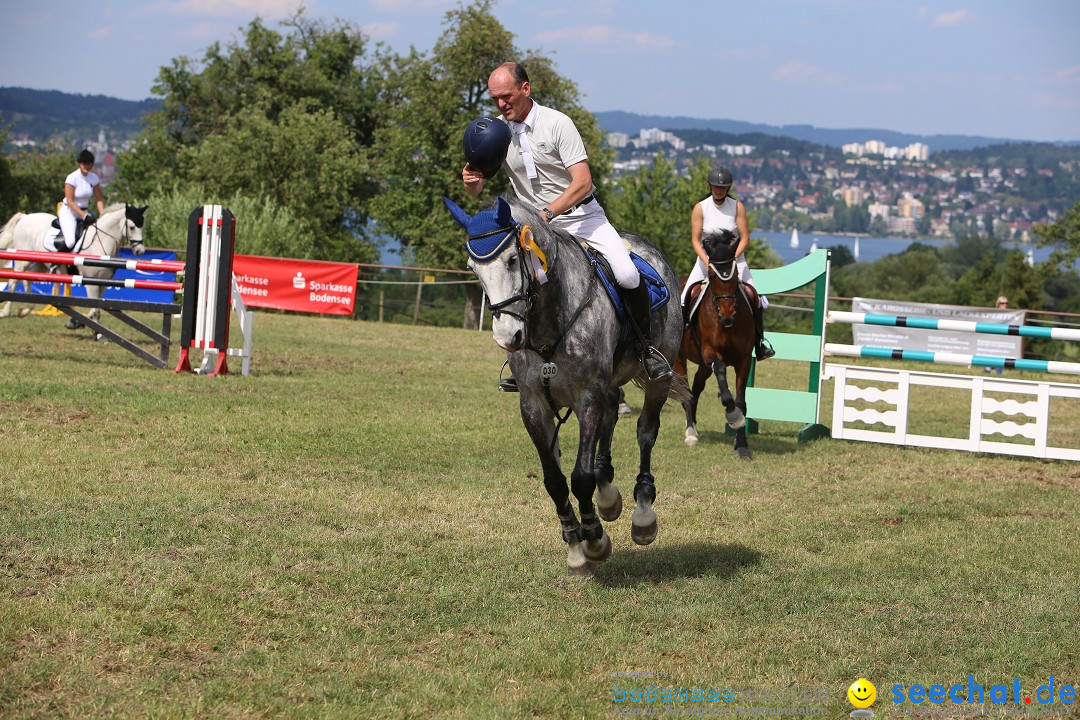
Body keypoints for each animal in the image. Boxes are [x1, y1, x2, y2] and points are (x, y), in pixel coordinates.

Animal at [0, 204, 147, 325]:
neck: (100, 241)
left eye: (142, 227)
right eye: (132, 227)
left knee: (26, 279)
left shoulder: (103, 282)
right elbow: (95, 310)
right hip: (22, 261)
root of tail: (24, 217)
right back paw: (8, 311)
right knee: (15, 281)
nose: (140, 250)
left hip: (40, 264)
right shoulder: (91, 282)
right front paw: (93, 332)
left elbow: (97, 308)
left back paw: (23, 310)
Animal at [444, 194, 682, 578]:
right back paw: (607, 494)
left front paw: (595, 540)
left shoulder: (587, 396)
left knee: (646, 430)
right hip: (609, 383)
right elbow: (554, 480)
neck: (549, 319)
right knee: (611, 415)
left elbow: (580, 476)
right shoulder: (533, 405)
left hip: (657, 376)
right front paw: (575, 548)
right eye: (473, 268)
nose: (507, 337)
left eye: (513, 260)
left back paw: (642, 513)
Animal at [673, 231, 760, 459]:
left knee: (695, 390)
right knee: (686, 392)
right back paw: (690, 433)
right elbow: (721, 373)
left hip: (703, 367)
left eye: (735, 274)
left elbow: (741, 401)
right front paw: (732, 414)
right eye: (712, 277)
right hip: (680, 359)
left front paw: (742, 445)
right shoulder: (710, 353)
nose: (727, 316)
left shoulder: (744, 360)